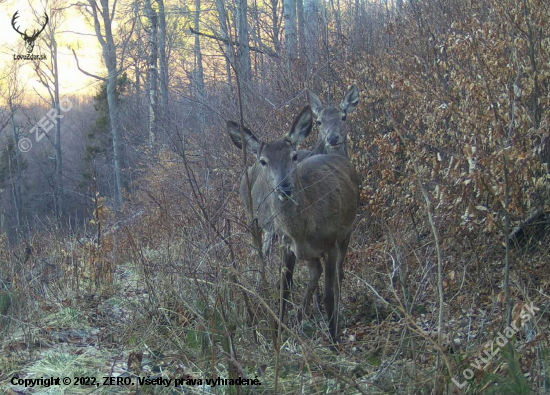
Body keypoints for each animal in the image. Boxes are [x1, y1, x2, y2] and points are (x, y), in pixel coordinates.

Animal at [227, 106, 360, 342]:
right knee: (313, 272)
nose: (285, 186)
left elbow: (328, 295)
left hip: (346, 232)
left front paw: (333, 339)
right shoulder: (286, 245)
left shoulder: (331, 242)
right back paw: (299, 318)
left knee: (338, 274)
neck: (302, 229)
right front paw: (279, 334)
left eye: (294, 155)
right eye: (263, 160)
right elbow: (284, 291)